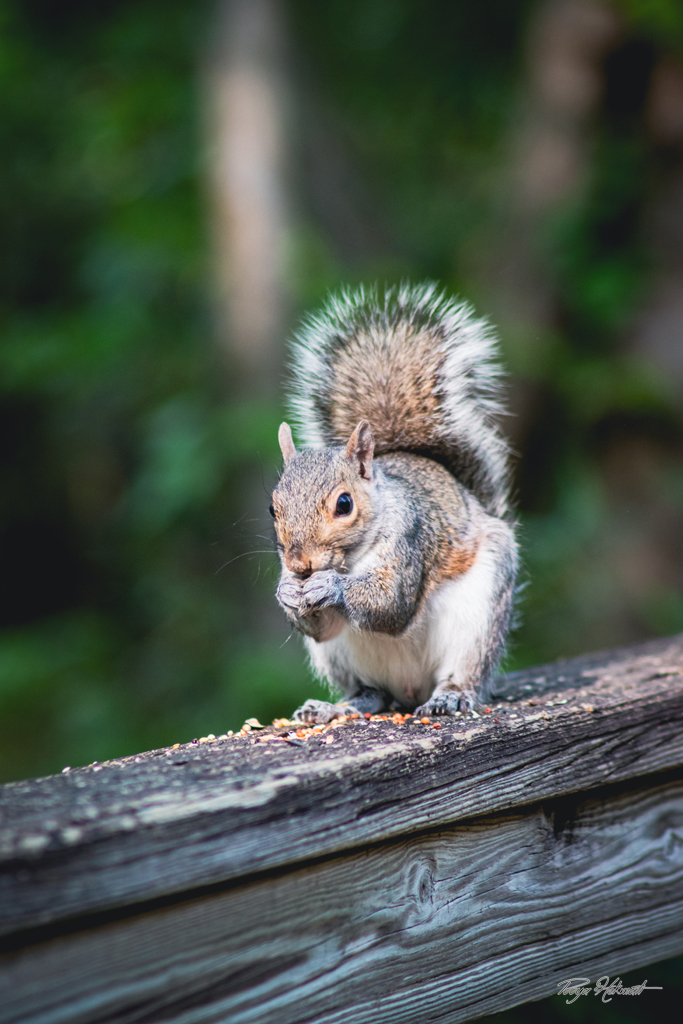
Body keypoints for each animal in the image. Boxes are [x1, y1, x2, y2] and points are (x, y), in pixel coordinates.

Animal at [270, 282, 518, 724]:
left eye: (345, 504)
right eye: (272, 509)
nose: (300, 566)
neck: (350, 561)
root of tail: (410, 691)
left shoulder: (411, 539)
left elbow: (391, 605)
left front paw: (329, 585)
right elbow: (321, 628)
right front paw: (286, 591)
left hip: (479, 619)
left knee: (466, 675)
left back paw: (449, 696)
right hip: (341, 660)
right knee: (373, 694)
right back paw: (334, 707)